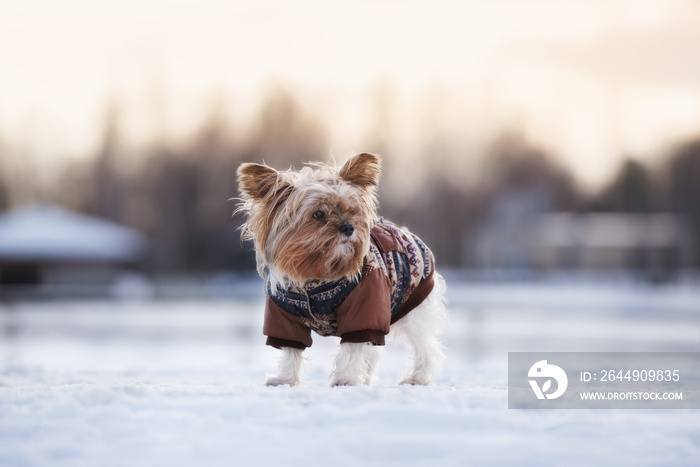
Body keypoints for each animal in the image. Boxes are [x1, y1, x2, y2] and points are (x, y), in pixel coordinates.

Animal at [237, 154, 448, 388]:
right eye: (318, 214)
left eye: (351, 211)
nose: (349, 227)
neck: (317, 276)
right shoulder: (283, 314)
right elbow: (291, 349)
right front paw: (285, 380)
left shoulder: (365, 307)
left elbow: (353, 347)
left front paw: (345, 379)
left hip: (412, 309)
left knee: (426, 348)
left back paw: (418, 378)